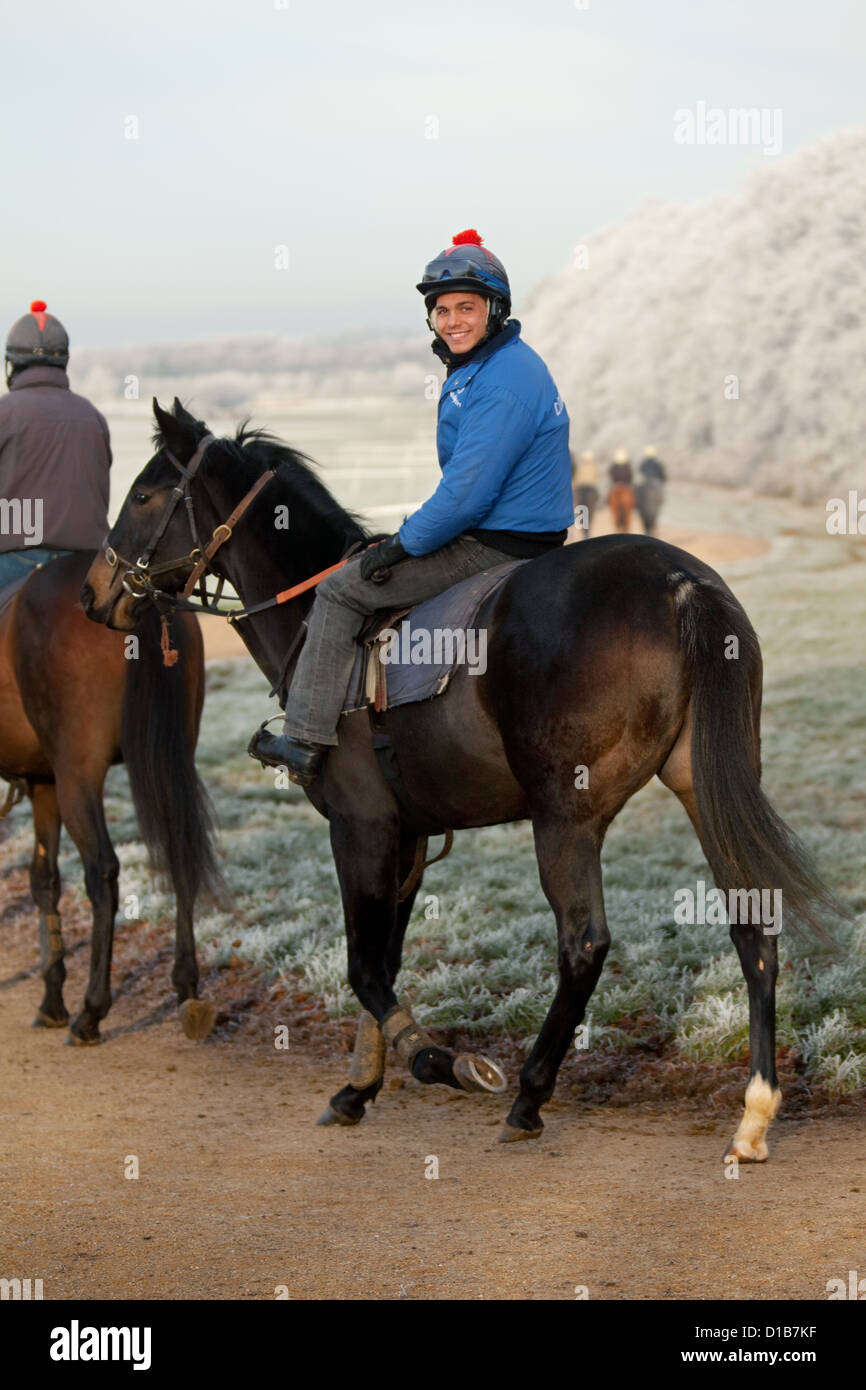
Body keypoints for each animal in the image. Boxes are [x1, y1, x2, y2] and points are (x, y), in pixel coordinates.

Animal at [0, 551, 220, 1043]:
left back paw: (91, 1011)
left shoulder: (60, 780)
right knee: (180, 851)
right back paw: (187, 988)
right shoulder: (43, 785)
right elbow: (43, 881)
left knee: (102, 872)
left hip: (79, 775)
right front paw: (51, 998)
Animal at [80, 398, 840, 1159]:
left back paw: (530, 1095)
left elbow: (363, 966)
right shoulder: (408, 838)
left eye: (142, 494)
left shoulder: (361, 826)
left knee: (583, 944)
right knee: (752, 926)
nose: (93, 592)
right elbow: (385, 961)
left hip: (565, 817)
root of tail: (680, 583)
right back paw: (755, 1111)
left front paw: (433, 1059)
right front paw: (359, 1088)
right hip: (704, 790)